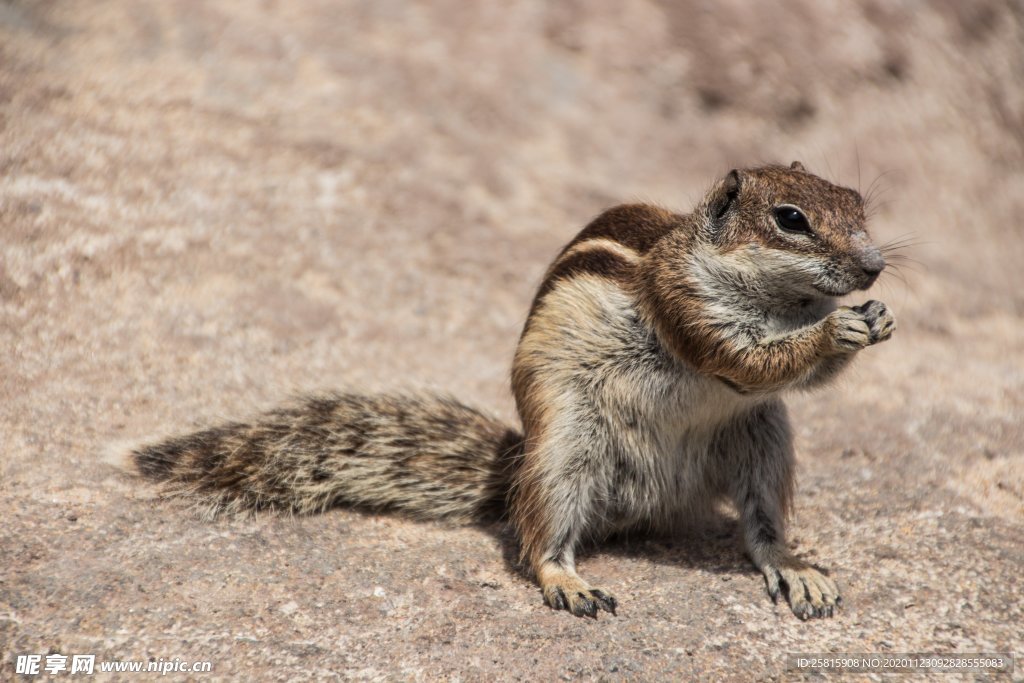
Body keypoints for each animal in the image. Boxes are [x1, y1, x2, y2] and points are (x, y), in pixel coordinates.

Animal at [134, 162, 897, 622]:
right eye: (791, 218)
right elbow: (747, 357)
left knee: (761, 528)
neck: (779, 301)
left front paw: (878, 318)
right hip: (565, 449)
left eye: (858, 203)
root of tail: (652, 502)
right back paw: (570, 583)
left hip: (763, 438)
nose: (872, 266)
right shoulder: (687, 309)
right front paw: (835, 331)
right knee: (540, 539)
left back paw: (794, 567)